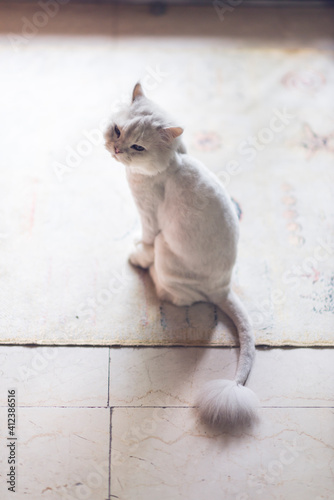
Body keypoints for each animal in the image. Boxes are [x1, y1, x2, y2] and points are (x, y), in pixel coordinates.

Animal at [105, 83, 260, 430]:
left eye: (137, 147)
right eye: (117, 131)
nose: (117, 150)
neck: (174, 160)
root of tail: (224, 288)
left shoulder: (150, 220)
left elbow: (144, 244)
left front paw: (136, 256)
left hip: (166, 247)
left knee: (178, 297)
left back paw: (154, 280)